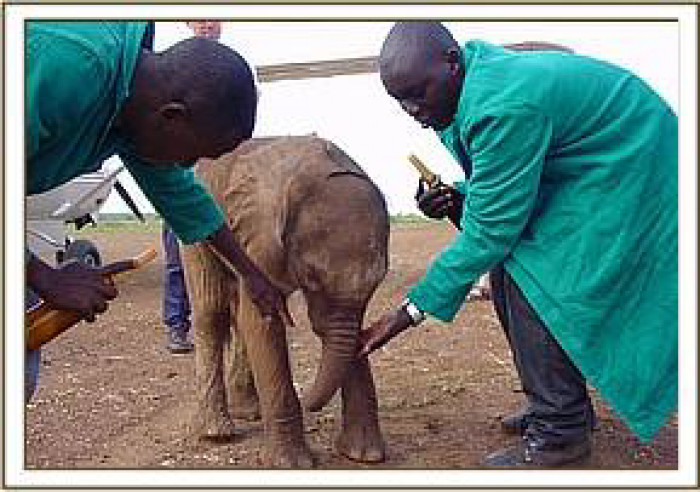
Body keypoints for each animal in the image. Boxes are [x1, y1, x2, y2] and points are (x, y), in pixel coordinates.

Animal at [183, 136, 392, 468]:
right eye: (311, 277)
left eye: (378, 281)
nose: (308, 401)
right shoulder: (260, 233)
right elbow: (262, 318)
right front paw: (290, 465)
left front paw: (364, 456)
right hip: (195, 223)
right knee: (211, 311)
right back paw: (216, 433)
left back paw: (249, 412)